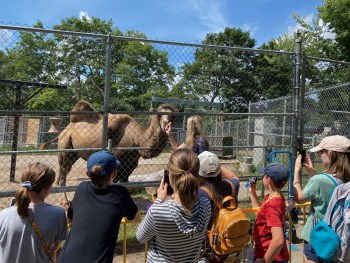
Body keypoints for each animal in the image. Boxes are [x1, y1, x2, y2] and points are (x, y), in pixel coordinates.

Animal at [41, 101, 176, 186]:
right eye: (159, 114)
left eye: (172, 115)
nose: (166, 124)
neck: (136, 139)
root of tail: (65, 130)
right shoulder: (117, 160)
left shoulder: (131, 163)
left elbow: (124, 182)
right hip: (65, 145)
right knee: (64, 170)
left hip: (74, 152)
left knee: (65, 169)